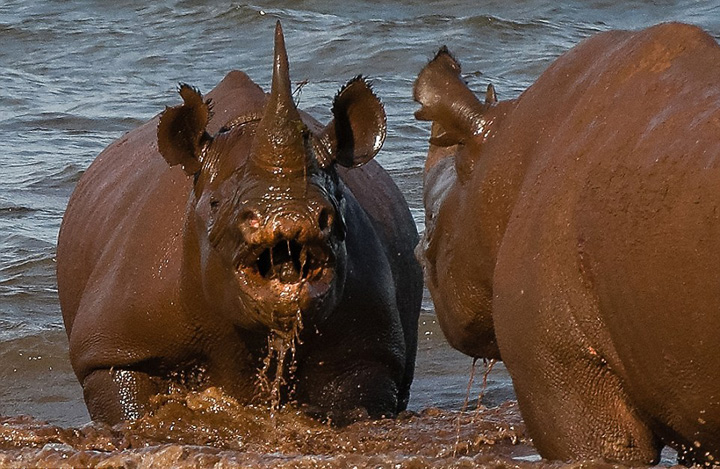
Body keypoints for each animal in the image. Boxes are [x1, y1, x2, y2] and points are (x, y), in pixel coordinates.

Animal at [59, 22, 424, 424]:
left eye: (336, 202)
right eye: (214, 204)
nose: (291, 216)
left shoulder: (369, 351)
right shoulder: (112, 349)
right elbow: (127, 404)